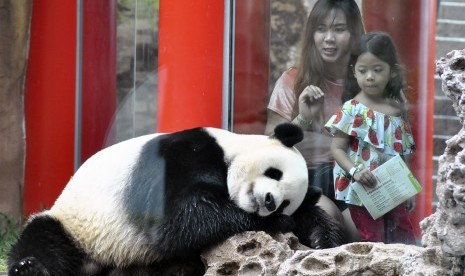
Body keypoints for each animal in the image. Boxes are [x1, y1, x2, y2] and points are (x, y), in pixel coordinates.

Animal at [7, 123, 344, 276]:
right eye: (274, 172)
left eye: (287, 200)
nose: (271, 202)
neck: (229, 152)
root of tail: (96, 268)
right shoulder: (185, 155)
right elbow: (179, 220)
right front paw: (277, 222)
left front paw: (322, 242)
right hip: (75, 225)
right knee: (45, 239)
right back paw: (29, 267)